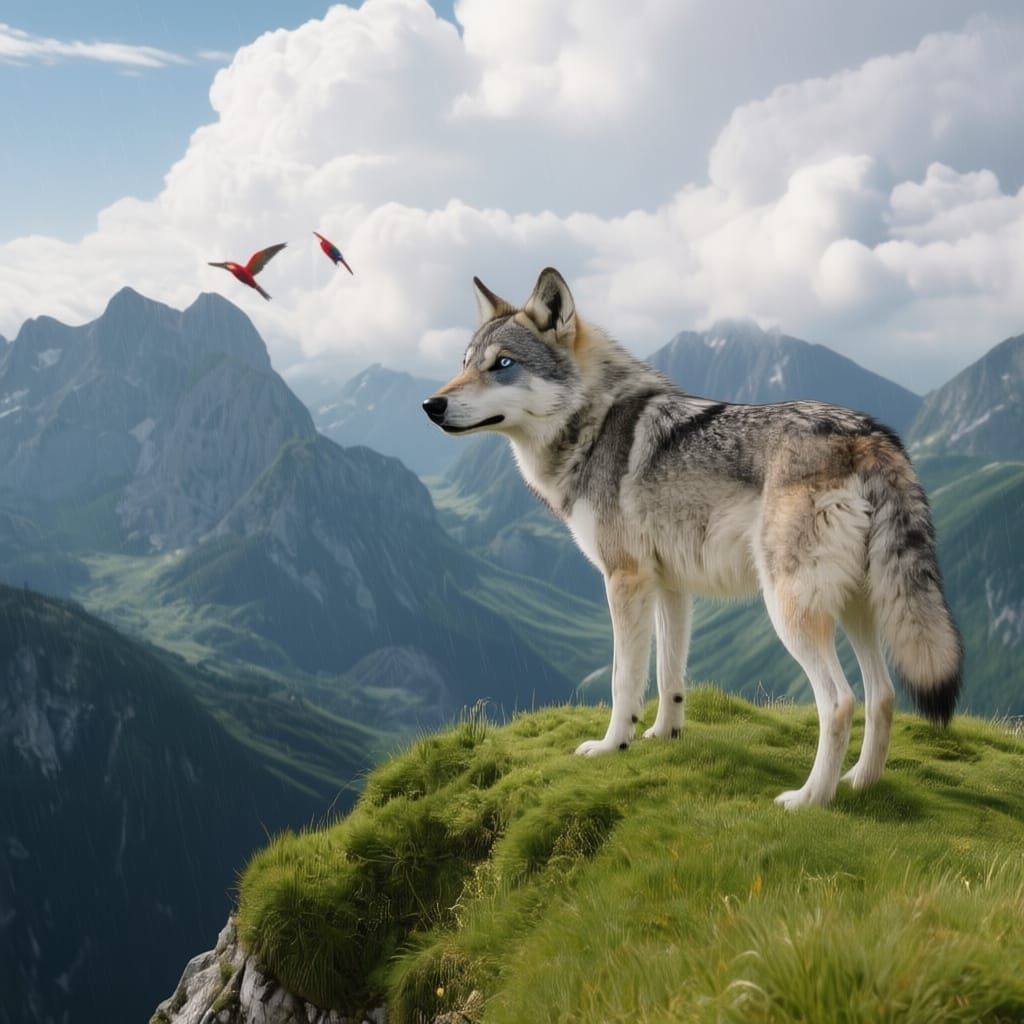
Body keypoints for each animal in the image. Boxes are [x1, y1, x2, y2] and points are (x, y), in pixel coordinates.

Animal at [422, 268, 962, 809]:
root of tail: (867, 435)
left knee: (840, 701)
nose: (430, 404)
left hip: (791, 611)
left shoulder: (624, 580)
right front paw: (664, 735)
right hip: (856, 607)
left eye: (502, 365)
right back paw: (860, 782)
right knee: (883, 695)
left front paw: (611, 745)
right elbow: (669, 675)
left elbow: (623, 678)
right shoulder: (671, 588)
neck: (591, 425)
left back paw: (809, 798)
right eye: (465, 364)